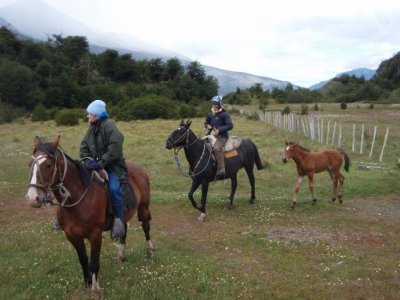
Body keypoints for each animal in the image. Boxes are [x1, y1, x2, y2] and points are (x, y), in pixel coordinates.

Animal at [25, 137, 153, 294]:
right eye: (30, 164)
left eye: (48, 165)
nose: (32, 198)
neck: (79, 199)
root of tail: (139, 169)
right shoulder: (72, 236)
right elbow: (83, 260)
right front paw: (86, 283)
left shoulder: (95, 235)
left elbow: (94, 262)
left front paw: (95, 288)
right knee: (123, 230)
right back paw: (121, 256)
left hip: (143, 208)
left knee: (146, 227)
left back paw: (149, 251)